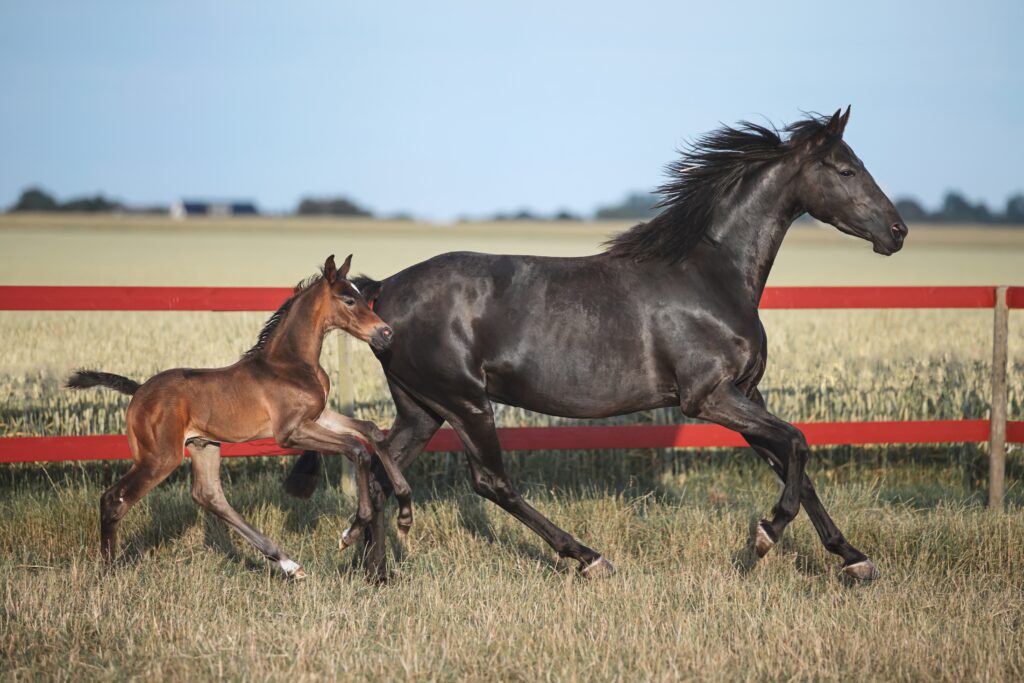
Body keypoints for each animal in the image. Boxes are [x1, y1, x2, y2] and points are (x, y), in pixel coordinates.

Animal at [66, 253, 411, 581]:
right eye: (348, 299)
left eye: (360, 295)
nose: (386, 333)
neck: (290, 363)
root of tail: (138, 392)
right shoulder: (290, 432)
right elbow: (356, 449)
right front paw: (351, 531)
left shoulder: (318, 415)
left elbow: (370, 431)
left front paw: (404, 506)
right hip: (159, 457)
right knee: (114, 498)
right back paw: (108, 571)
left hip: (203, 445)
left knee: (209, 496)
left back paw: (288, 565)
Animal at [288, 107, 905, 581]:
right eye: (847, 168)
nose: (897, 232)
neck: (710, 276)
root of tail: (383, 290)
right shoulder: (708, 398)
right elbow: (798, 444)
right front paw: (765, 535)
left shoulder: (746, 395)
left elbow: (793, 459)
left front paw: (854, 560)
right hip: (465, 401)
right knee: (489, 482)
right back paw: (588, 558)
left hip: (423, 408)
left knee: (380, 463)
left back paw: (373, 566)